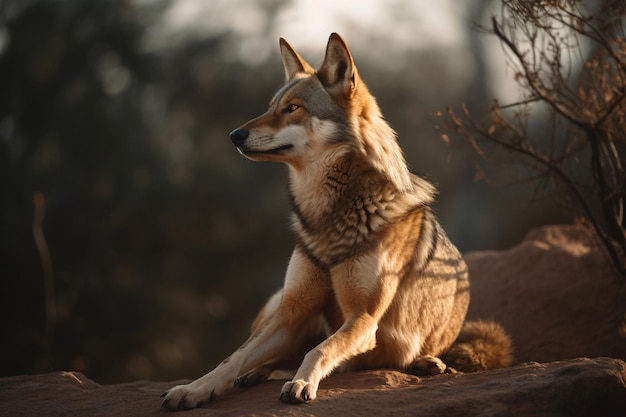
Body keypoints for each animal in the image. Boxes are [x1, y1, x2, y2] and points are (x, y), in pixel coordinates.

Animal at [158, 32, 510, 410]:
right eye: (270, 106)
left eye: (293, 108)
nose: (234, 135)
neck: (327, 217)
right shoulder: (292, 311)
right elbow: (232, 358)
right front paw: (193, 389)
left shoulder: (363, 319)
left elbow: (319, 350)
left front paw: (301, 384)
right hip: (276, 307)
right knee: (267, 359)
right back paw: (251, 376)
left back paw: (429, 362)